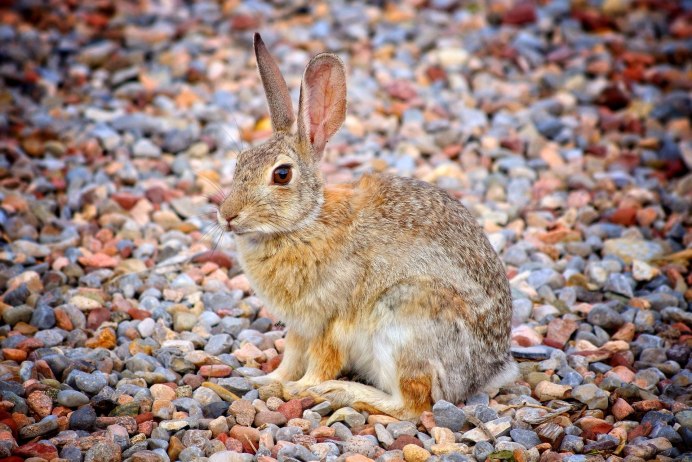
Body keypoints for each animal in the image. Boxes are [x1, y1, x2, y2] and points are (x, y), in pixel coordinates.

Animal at [217, 33, 518, 420]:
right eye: (239, 162)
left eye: (281, 174)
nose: (227, 214)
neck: (305, 223)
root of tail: (486, 373)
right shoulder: (300, 326)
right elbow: (291, 356)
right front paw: (267, 379)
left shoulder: (331, 321)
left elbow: (321, 361)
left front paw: (299, 388)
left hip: (404, 322)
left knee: (413, 404)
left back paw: (341, 392)